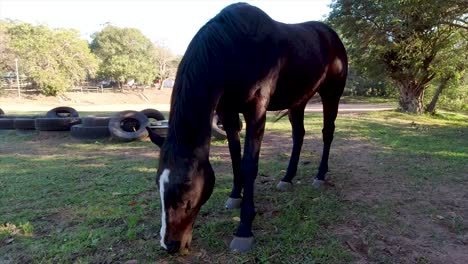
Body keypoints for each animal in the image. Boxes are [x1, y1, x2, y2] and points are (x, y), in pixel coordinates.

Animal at [146, 2, 348, 254]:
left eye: (187, 185)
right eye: (158, 183)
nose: (170, 245)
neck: (234, 49)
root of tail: (331, 35)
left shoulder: (256, 111)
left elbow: (249, 165)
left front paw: (244, 229)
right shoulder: (227, 113)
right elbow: (235, 157)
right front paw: (235, 196)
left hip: (332, 94)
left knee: (327, 133)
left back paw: (320, 176)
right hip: (299, 101)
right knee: (298, 135)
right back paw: (287, 178)